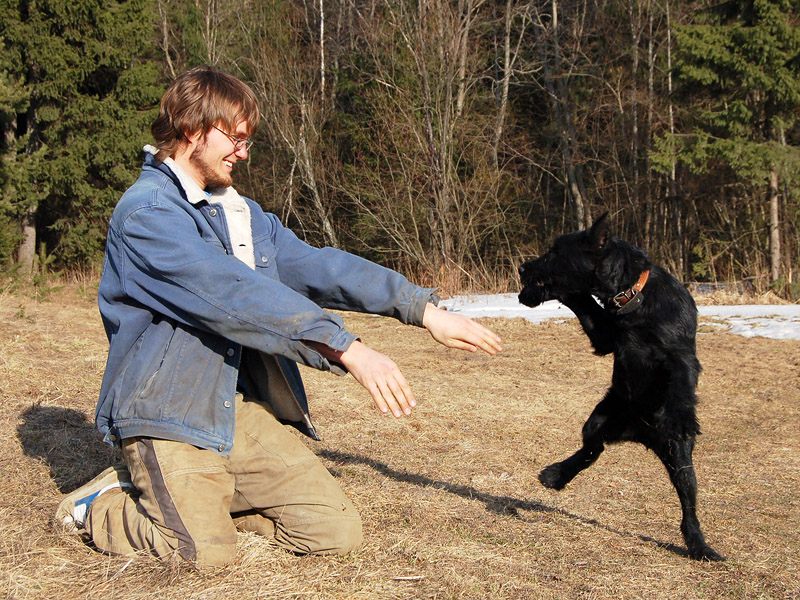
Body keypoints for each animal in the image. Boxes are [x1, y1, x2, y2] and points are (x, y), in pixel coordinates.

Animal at [520, 213, 724, 560]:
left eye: (555, 252)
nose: (523, 268)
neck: (632, 298)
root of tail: (641, 433)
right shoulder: (605, 337)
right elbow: (582, 300)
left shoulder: (680, 354)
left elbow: (682, 381)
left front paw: (681, 417)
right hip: (599, 420)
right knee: (592, 450)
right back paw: (556, 475)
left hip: (680, 459)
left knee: (688, 502)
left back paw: (699, 544)